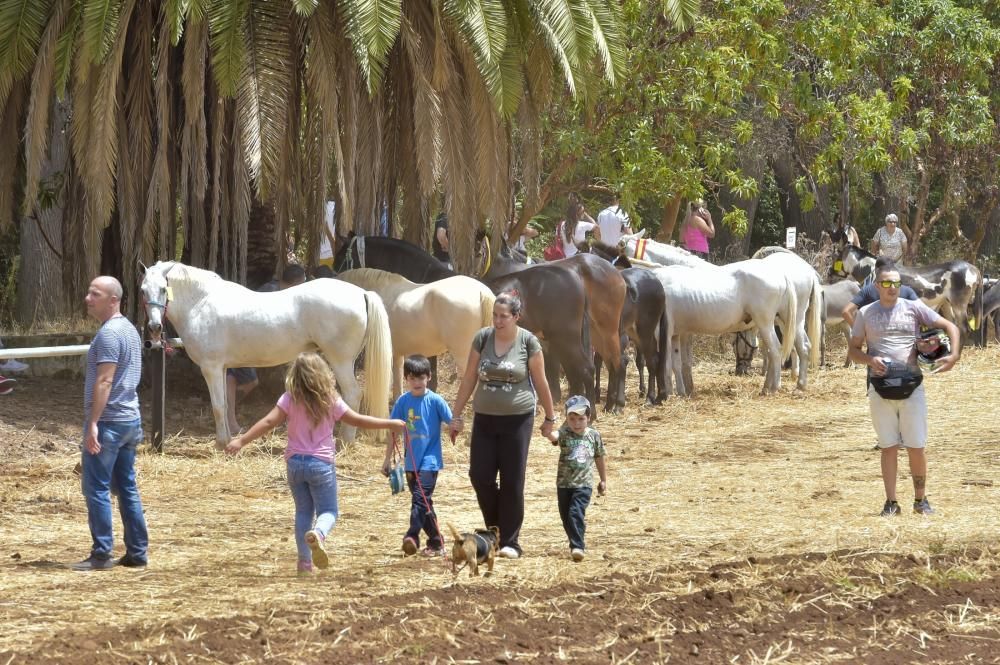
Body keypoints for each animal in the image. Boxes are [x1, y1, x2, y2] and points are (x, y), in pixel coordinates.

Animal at [141, 260, 390, 446]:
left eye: (163, 289)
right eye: (143, 290)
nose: (154, 327)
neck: (200, 304)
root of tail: (362, 293)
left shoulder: (210, 367)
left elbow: (217, 405)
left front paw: (221, 443)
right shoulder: (221, 367)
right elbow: (225, 404)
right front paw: (227, 438)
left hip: (340, 360)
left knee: (353, 394)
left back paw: (345, 441)